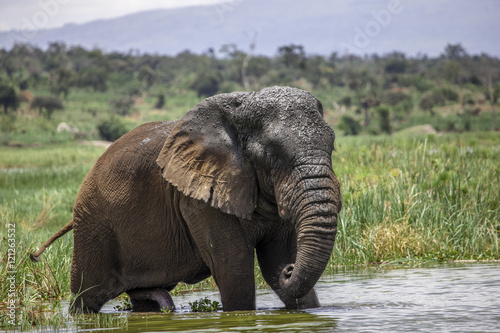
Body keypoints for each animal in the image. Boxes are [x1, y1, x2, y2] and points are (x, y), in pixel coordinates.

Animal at [31, 85, 342, 312]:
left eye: (333, 145)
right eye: (271, 154)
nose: (290, 271)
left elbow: (276, 262)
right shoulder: (198, 199)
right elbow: (234, 268)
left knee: (143, 299)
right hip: (93, 226)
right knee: (87, 298)